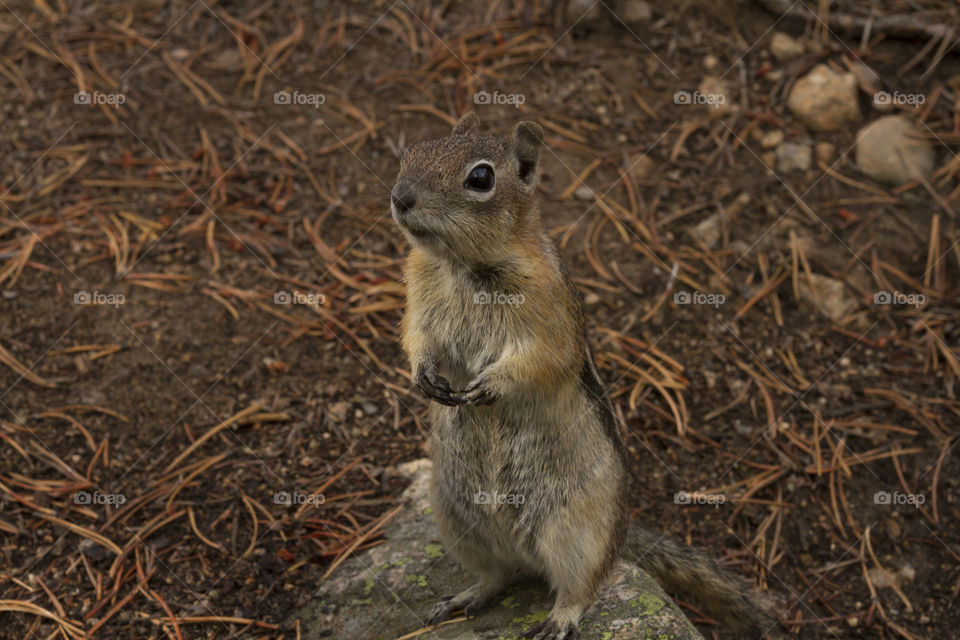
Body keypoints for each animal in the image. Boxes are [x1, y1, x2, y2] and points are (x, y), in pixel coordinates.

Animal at [392, 112, 780, 636]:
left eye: (481, 178)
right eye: (414, 150)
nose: (400, 197)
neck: (461, 265)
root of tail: (620, 533)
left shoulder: (548, 314)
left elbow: (538, 359)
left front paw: (490, 384)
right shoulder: (418, 293)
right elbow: (416, 337)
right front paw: (423, 376)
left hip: (574, 532)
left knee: (582, 585)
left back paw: (559, 618)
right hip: (456, 521)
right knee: (497, 575)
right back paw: (467, 596)